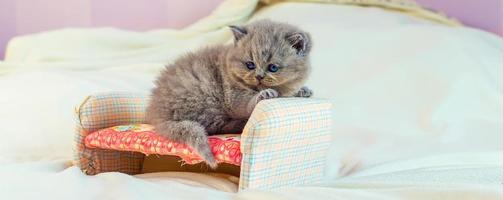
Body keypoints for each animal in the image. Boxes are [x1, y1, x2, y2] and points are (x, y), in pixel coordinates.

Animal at [146, 19, 314, 168]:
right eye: (250, 65)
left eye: (273, 68)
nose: (259, 76)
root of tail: (158, 115)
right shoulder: (233, 96)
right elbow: (247, 103)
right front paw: (264, 94)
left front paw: (302, 90)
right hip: (205, 98)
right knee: (216, 126)